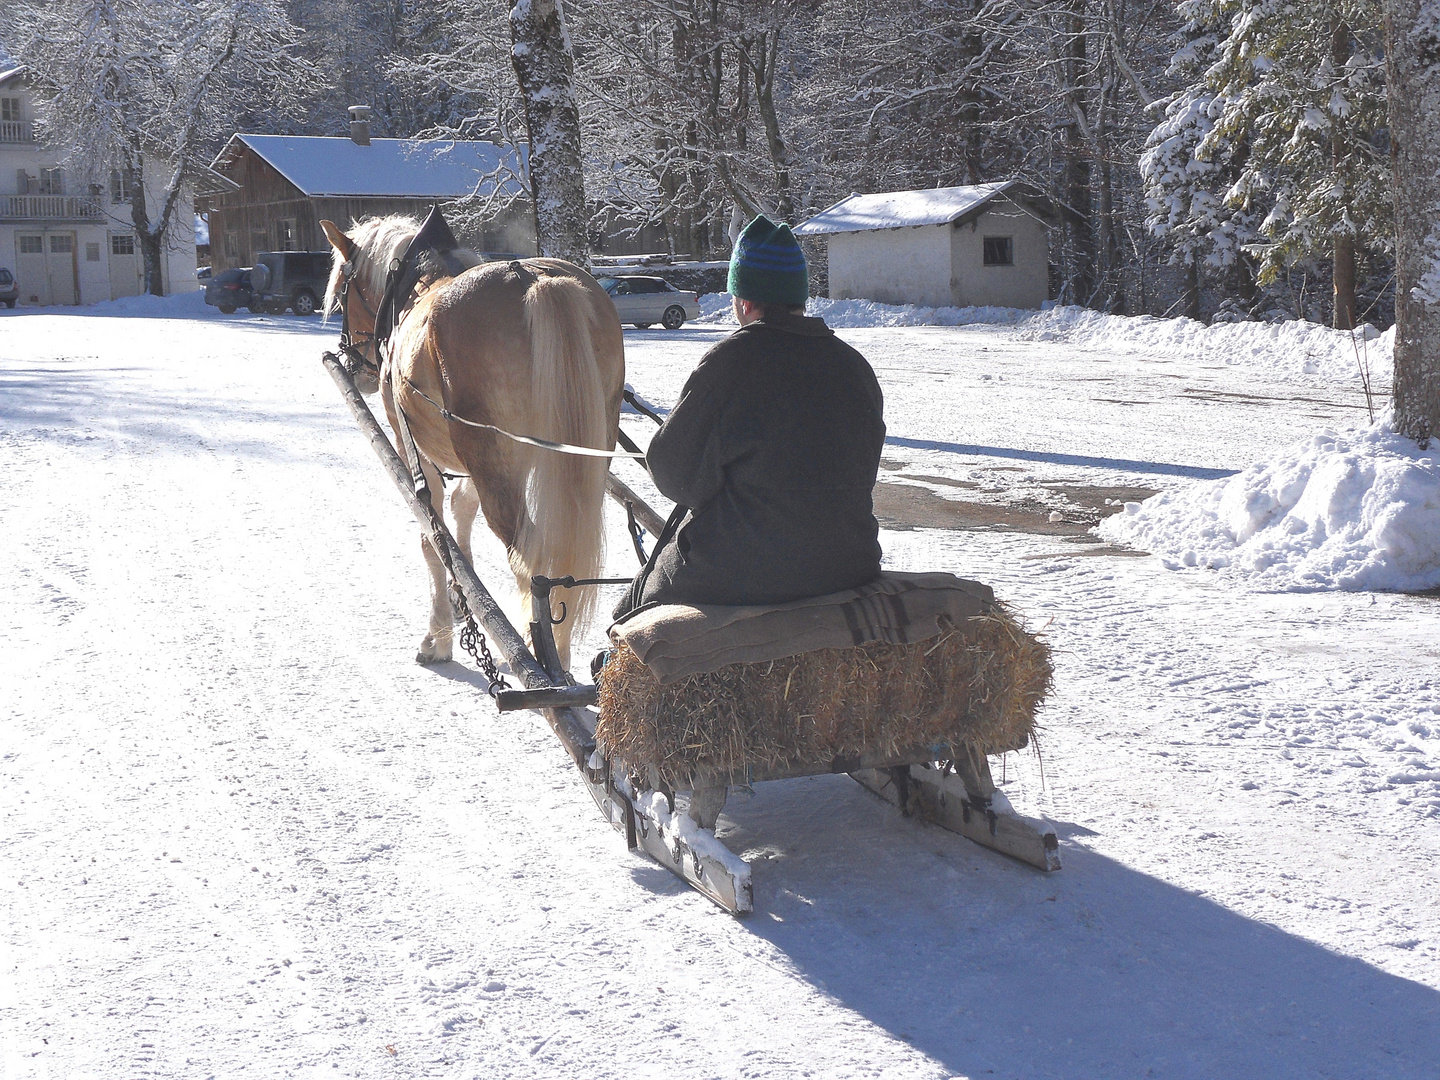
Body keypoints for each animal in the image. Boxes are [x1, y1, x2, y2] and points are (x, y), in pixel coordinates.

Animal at [324, 216, 627, 673]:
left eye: (343, 289)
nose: (353, 361)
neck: (411, 291)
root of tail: (535, 279)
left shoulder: (412, 445)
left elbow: (432, 535)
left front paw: (437, 637)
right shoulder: (472, 464)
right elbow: (461, 513)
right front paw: (460, 599)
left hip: (494, 464)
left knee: (529, 555)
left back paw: (540, 654)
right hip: (582, 452)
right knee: (563, 550)